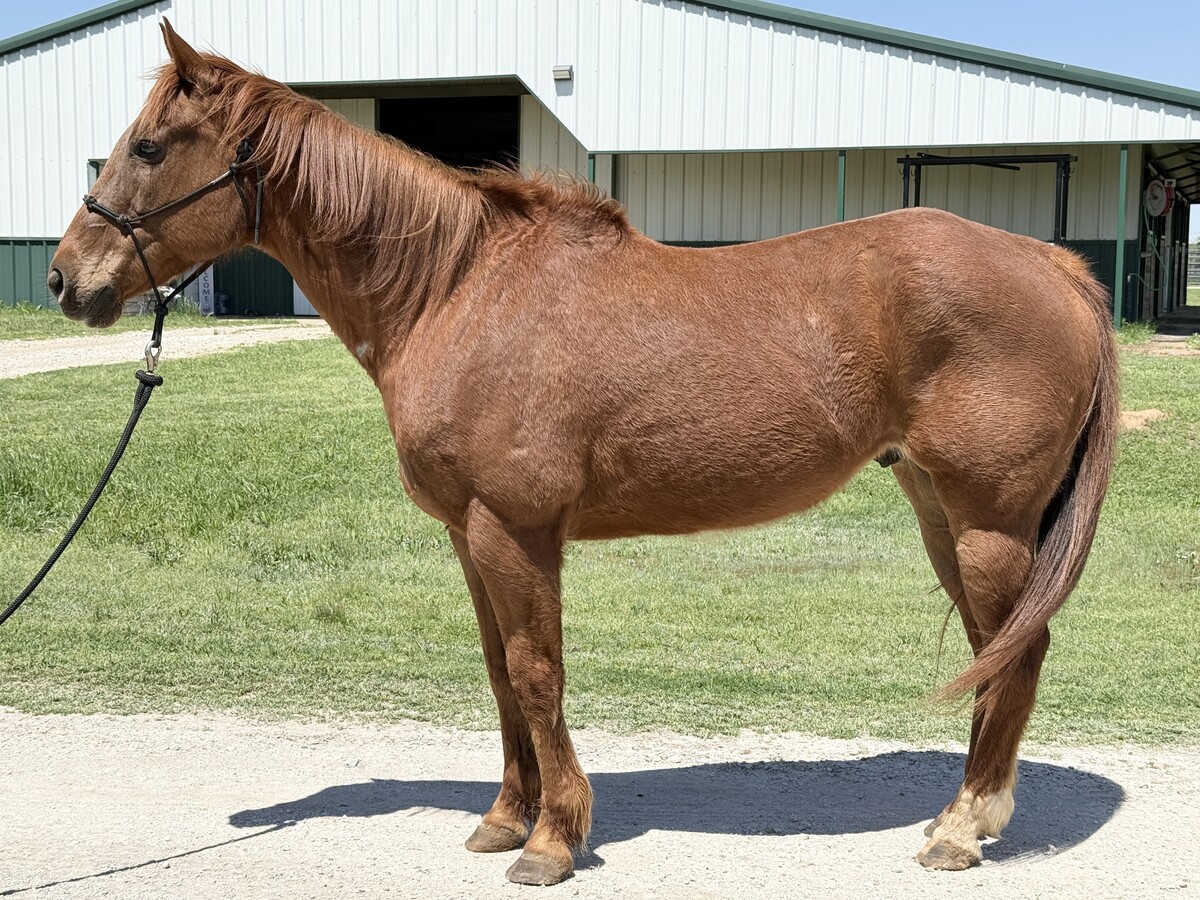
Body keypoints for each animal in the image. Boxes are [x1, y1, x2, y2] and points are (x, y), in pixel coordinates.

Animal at [48, 21, 1118, 887]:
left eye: (147, 147)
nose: (64, 279)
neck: (458, 289)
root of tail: (1055, 262)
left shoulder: (515, 531)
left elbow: (536, 673)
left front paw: (552, 841)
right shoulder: (469, 537)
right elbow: (497, 671)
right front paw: (502, 817)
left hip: (987, 520)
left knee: (1018, 653)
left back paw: (962, 828)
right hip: (941, 509)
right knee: (996, 650)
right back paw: (964, 817)